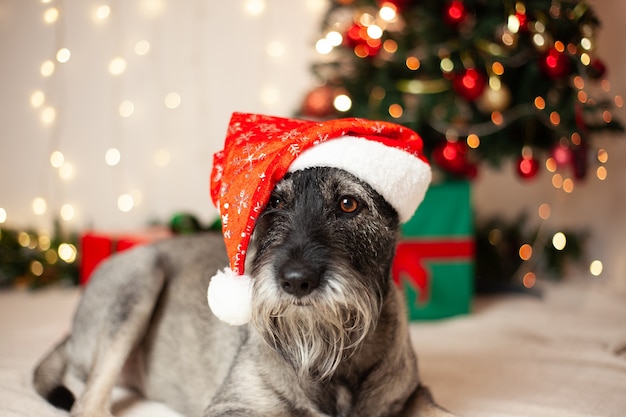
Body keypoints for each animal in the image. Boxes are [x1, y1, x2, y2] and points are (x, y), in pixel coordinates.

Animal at [34, 167, 450, 416]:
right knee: (88, 402)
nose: (296, 280)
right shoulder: (234, 406)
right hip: (141, 275)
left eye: (349, 203)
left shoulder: (413, 395)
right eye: (274, 202)